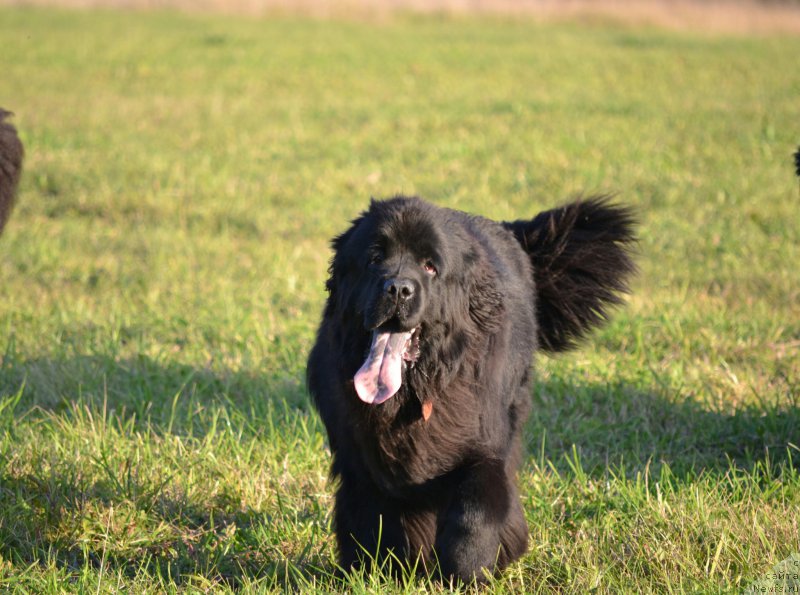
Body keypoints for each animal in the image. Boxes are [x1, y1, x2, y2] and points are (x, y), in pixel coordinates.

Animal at [308, 194, 636, 584]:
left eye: (431, 267)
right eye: (374, 258)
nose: (398, 288)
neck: (415, 390)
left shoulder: (483, 443)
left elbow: (476, 508)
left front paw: (467, 570)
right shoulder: (363, 459)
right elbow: (374, 515)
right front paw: (379, 571)